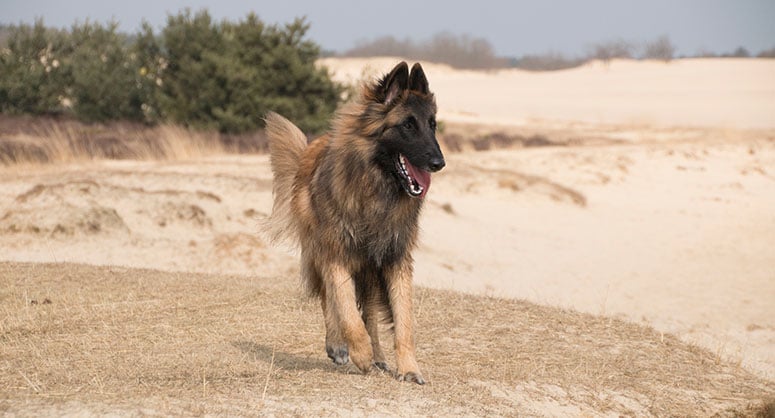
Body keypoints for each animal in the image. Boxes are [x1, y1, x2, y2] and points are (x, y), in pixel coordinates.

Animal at [266, 60, 446, 384]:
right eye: (408, 125)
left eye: (432, 124)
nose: (439, 163)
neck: (375, 188)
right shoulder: (336, 253)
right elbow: (345, 308)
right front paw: (357, 352)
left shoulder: (395, 258)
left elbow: (403, 319)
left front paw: (408, 367)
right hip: (323, 252)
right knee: (330, 298)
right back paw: (340, 346)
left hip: (370, 269)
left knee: (370, 314)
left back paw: (378, 356)